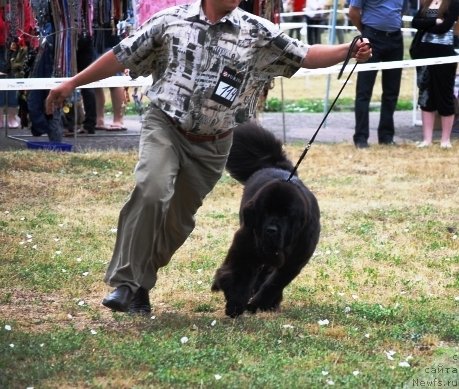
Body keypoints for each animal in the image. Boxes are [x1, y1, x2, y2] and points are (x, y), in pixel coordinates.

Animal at [211, 121, 320, 316]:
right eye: (265, 212)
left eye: (286, 215)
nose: (271, 230)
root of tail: (275, 165)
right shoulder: (247, 242)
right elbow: (240, 273)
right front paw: (235, 304)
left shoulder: (296, 258)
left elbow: (276, 282)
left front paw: (259, 303)